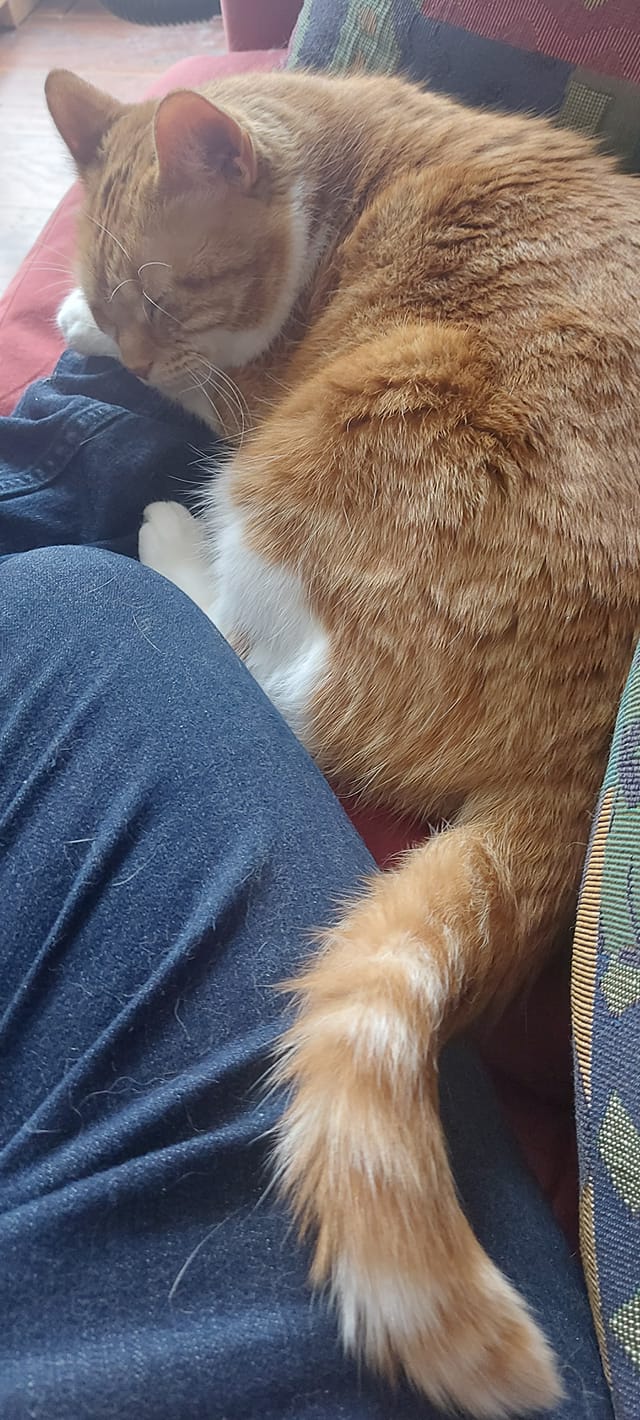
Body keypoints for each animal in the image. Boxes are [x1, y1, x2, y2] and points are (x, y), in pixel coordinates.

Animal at [47, 69, 640, 1420]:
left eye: (163, 300)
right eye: (126, 294)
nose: (130, 342)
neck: (340, 172)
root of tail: (582, 746)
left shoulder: (244, 392)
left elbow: (196, 389)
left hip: (318, 444)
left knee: (273, 677)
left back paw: (169, 545)